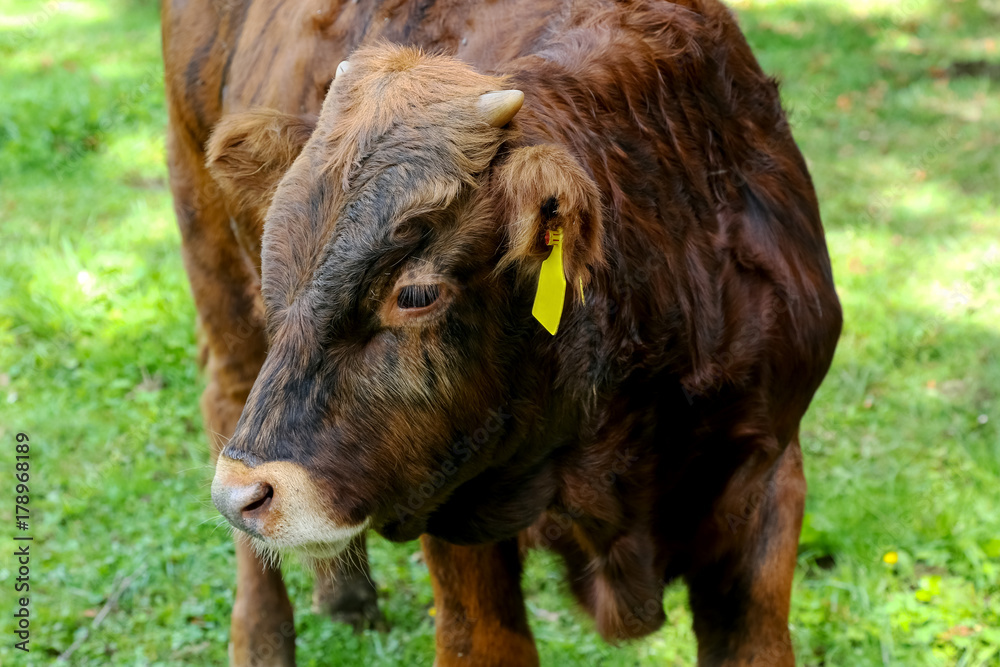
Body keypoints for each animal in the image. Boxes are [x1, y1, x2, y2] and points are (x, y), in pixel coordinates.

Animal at [162, 0, 842, 663]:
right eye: (277, 270)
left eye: (415, 294)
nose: (241, 496)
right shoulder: (449, 503)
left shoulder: (765, 474)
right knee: (223, 394)